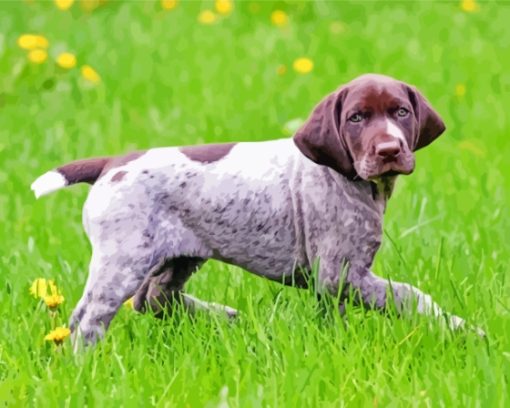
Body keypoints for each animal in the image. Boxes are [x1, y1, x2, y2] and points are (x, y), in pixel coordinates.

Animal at [32, 75, 482, 346]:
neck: (353, 180)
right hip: (122, 261)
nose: (389, 150)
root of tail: (112, 163)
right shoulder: (341, 274)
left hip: (178, 254)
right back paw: (84, 365)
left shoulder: (334, 281)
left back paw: (223, 316)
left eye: (401, 112)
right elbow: (409, 295)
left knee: (155, 298)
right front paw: (463, 328)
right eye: (356, 118)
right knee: (88, 319)